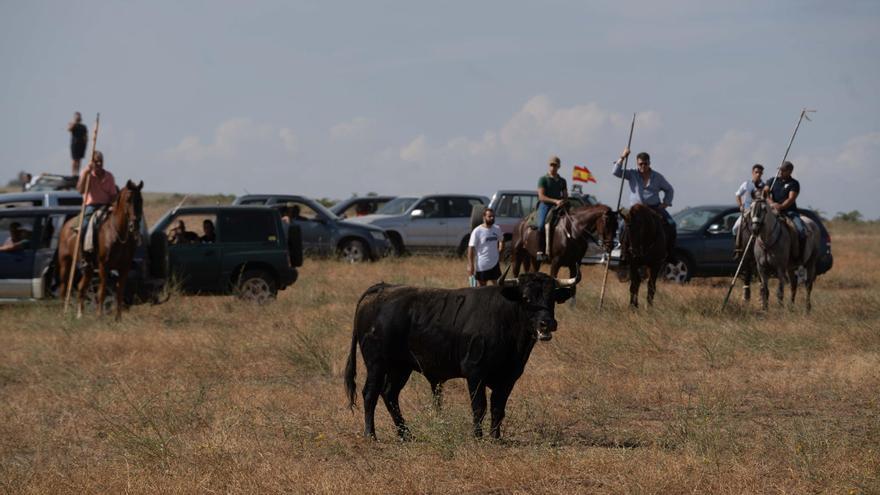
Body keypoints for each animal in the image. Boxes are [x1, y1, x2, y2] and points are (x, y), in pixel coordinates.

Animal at [57, 180, 144, 320]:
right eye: (128, 199)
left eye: (140, 200)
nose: (134, 224)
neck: (117, 233)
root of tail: (66, 226)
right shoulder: (104, 265)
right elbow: (101, 291)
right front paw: (99, 316)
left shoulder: (124, 267)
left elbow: (120, 292)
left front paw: (118, 319)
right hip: (65, 262)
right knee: (64, 286)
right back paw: (62, 312)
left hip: (88, 268)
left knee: (81, 287)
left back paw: (80, 315)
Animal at [344, 272, 576, 442]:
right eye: (526, 298)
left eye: (552, 298)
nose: (547, 324)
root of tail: (382, 289)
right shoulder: (475, 373)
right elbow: (479, 407)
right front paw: (477, 437)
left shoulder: (509, 377)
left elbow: (498, 407)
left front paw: (496, 437)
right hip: (376, 364)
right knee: (370, 394)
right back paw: (371, 435)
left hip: (400, 367)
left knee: (389, 394)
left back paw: (406, 434)